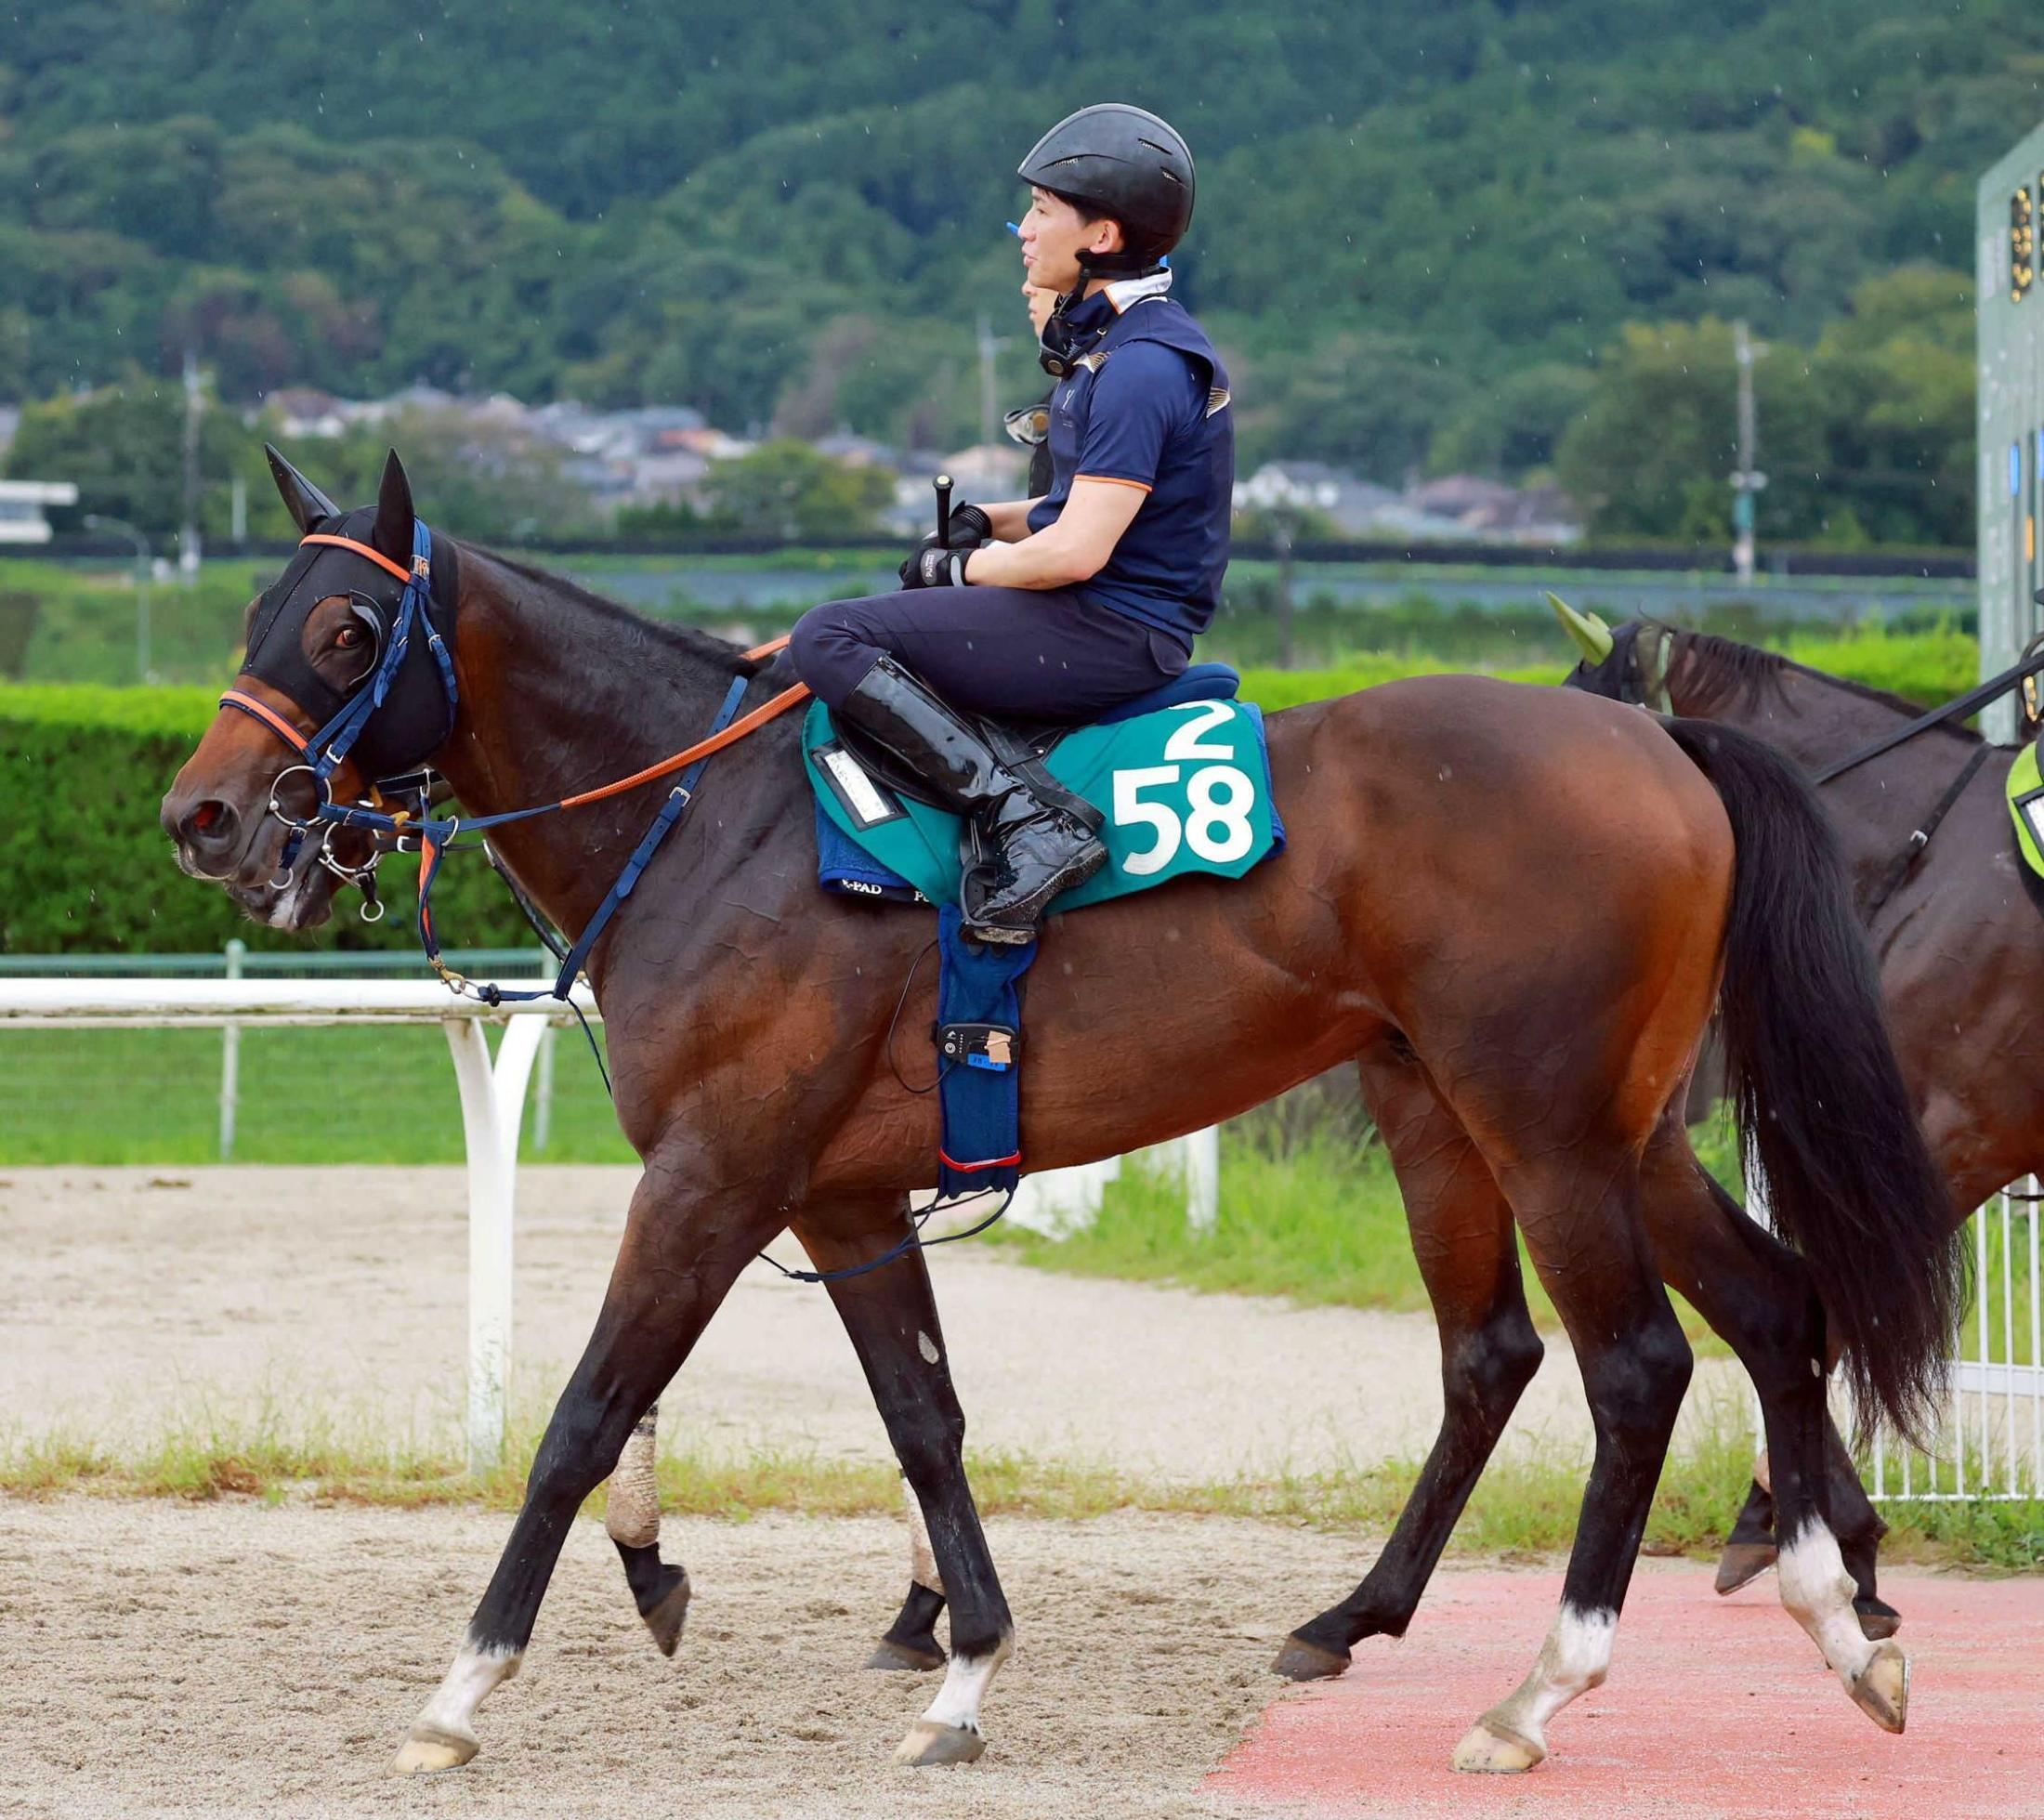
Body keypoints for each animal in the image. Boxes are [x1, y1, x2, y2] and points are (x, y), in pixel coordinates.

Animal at [160, 451, 1959, 1777]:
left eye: (343, 633)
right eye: (256, 609)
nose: (204, 816)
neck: (707, 816)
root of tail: (1653, 737)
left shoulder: (715, 1172)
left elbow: (585, 1413)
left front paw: (465, 1685)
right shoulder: (839, 1195)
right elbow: (925, 1417)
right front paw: (957, 1668)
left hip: (1547, 1123)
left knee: (1637, 1362)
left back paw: (1540, 1686)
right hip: (1554, 1119)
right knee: (1715, 1315)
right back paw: (1817, 1611)